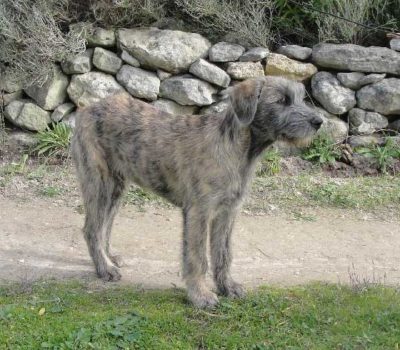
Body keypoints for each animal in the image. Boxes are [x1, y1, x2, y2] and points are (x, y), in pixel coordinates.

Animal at [71, 76, 322, 306]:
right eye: (281, 101)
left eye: (301, 98)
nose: (318, 121)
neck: (236, 149)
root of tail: (86, 109)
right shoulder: (199, 211)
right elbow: (197, 256)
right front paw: (200, 295)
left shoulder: (227, 213)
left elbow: (223, 253)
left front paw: (227, 286)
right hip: (100, 183)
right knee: (92, 229)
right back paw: (104, 268)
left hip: (116, 187)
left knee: (104, 226)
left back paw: (109, 258)